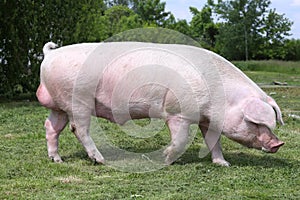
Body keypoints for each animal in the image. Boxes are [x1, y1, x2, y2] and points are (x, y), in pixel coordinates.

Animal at [35, 41, 284, 166]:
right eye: (255, 123)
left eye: (272, 122)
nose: (278, 143)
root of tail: (50, 55)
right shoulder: (177, 112)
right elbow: (180, 140)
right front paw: (166, 158)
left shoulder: (207, 119)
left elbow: (214, 141)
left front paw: (223, 164)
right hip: (77, 99)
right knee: (78, 128)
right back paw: (101, 160)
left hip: (58, 104)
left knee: (51, 127)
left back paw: (57, 160)